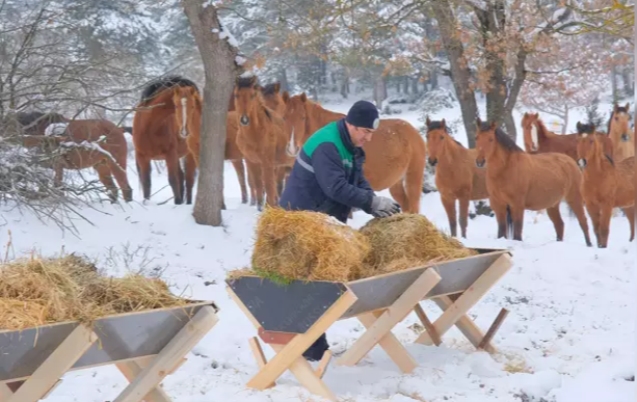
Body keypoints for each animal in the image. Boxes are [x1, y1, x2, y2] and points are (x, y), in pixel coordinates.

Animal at [131, 76, 196, 204]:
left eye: (192, 106)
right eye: (176, 106)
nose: (185, 131)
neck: (150, 128)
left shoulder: (170, 155)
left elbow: (173, 180)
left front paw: (177, 202)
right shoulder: (142, 157)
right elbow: (146, 182)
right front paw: (146, 203)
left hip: (188, 154)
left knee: (188, 179)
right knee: (182, 177)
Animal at [231, 74, 296, 210]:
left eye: (252, 95)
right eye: (236, 95)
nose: (244, 120)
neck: (255, 135)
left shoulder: (267, 162)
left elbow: (269, 186)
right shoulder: (251, 161)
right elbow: (258, 185)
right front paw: (261, 207)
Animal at [280, 91, 424, 214]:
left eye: (303, 118)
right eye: (284, 118)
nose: (292, 148)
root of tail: (414, 133)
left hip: (413, 177)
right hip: (396, 183)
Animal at [472, 117, 592, 245]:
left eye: (491, 139)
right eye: (476, 137)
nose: (480, 162)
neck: (506, 169)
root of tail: (571, 162)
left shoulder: (517, 205)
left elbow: (517, 233)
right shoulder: (499, 205)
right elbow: (501, 232)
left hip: (574, 199)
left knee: (583, 222)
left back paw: (590, 244)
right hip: (553, 205)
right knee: (559, 225)